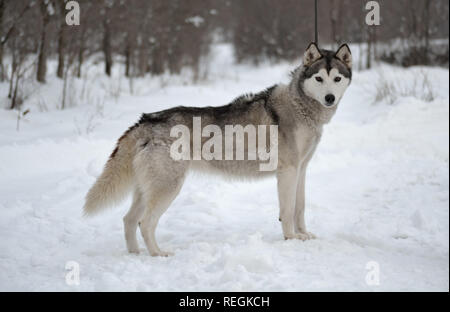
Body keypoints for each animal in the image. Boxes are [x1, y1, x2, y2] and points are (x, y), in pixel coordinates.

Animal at [83, 42, 352, 256]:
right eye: (319, 79)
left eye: (337, 79)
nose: (329, 98)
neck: (301, 106)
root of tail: (146, 121)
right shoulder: (287, 172)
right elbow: (287, 211)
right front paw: (291, 239)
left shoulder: (301, 170)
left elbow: (300, 207)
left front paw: (303, 235)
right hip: (168, 188)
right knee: (145, 223)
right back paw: (158, 254)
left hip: (146, 189)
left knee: (129, 220)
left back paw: (135, 254)